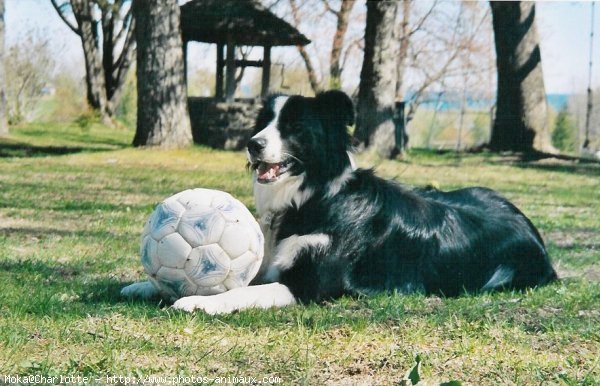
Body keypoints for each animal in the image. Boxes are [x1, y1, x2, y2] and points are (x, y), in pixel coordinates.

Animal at [171, 92, 556, 316]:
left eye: (294, 126)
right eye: (264, 122)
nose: (252, 144)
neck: (314, 197)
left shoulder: (311, 286)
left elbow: (240, 294)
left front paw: (198, 301)